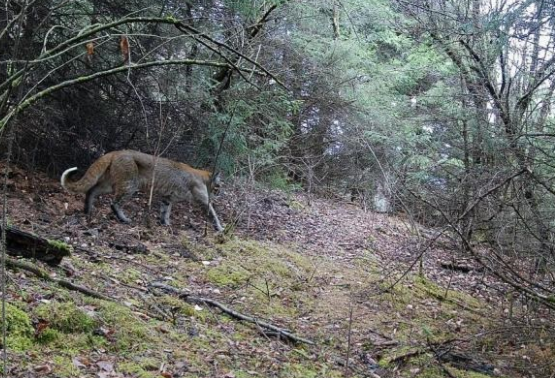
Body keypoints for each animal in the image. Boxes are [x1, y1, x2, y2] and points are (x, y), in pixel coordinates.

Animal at [60, 150, 224, 232]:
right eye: (218, 186)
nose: (219, 193)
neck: (203, 176)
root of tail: (116, 151)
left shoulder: (167, 196)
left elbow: (165, 210)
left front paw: (165, 223)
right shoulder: (203, 200)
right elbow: (213, 213)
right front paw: (220, 228)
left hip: (108, 183)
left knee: (91, 191)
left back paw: (88, 210)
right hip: (130, 184)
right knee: (114, 203)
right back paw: (124, 219)